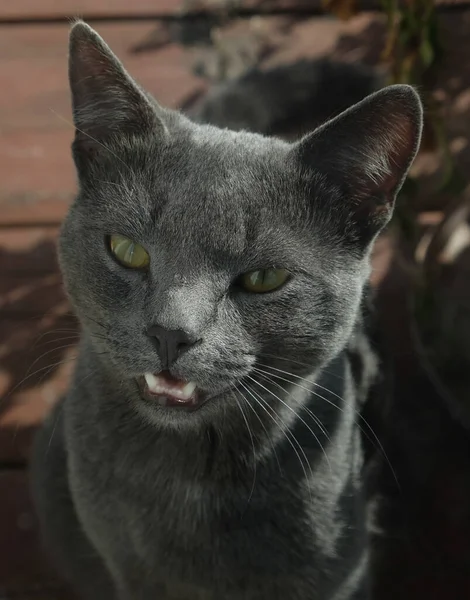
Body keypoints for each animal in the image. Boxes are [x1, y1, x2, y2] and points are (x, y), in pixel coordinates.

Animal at [30, 21, 422, 600]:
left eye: (264, 279)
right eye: (127, 250)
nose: (170, 332)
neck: (192, 478)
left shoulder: (340, 573)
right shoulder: (132, 572)